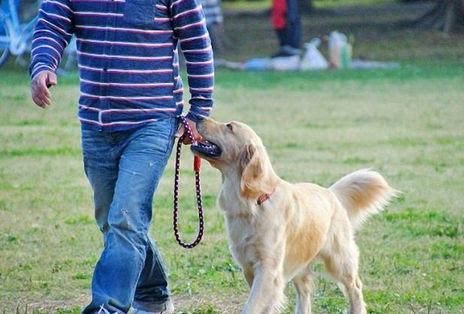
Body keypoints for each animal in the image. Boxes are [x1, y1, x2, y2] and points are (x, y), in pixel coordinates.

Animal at [191, 118, 398, 314]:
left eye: (229, 126)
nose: (198, 118)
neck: (255, 201)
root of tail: (330, 192)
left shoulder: (268, 270)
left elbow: (252, 306)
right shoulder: (249, 268)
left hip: (339, 259)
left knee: (355, 286)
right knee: (305, 292)